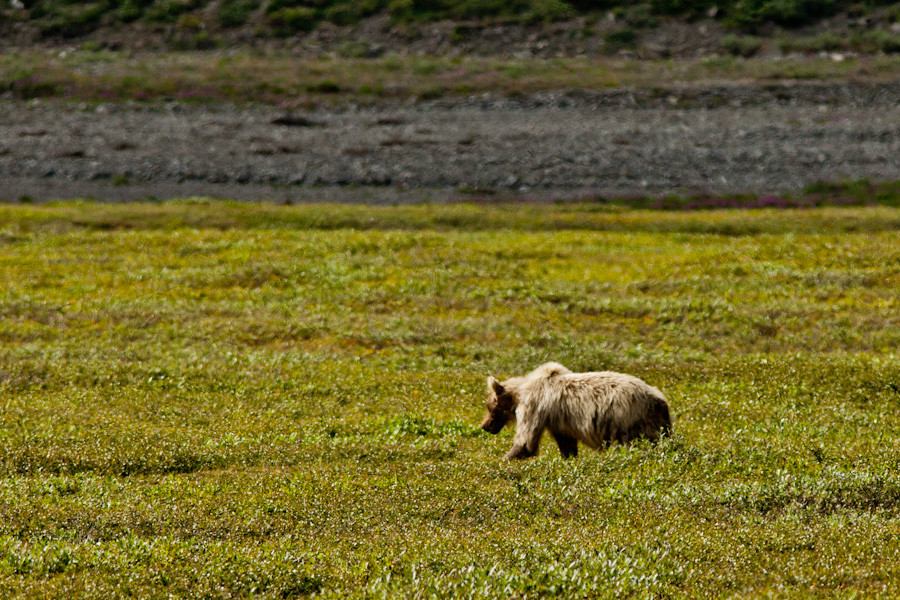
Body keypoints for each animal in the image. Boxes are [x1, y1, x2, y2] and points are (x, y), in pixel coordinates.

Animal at [482, 360, 672, 460]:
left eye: (490, 406)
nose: (484, 426)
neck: (521, 393)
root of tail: (660, 400)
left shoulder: (533, 407)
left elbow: (525, 442)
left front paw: (504, 459)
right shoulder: (558, 422)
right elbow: (567, 444)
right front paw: (569, 457)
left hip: (627, 419)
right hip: (655, 422)